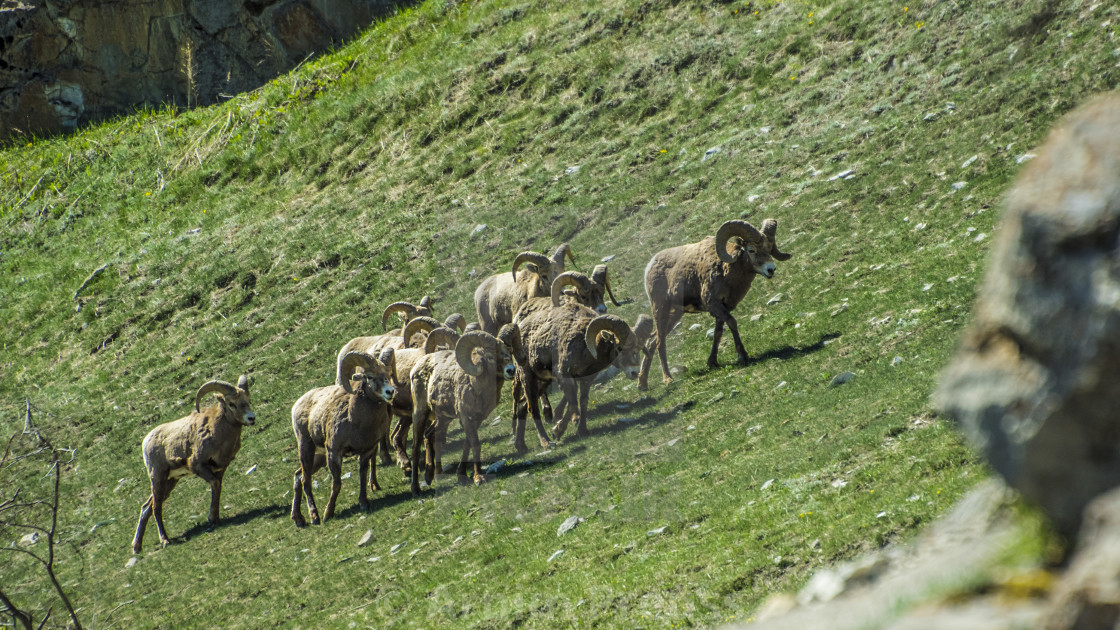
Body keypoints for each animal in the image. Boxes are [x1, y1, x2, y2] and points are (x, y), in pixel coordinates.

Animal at [132, 374, 255, 551]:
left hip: (170, 481)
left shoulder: (220, 469)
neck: (218, 432)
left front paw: (215, 518)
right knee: (156, 507)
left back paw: (137, 547)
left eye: (248, 400)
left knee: (147, 507)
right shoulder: (198, 465)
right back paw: (165, 541)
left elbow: (217, 487)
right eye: (232, 404)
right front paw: (212, 519)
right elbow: (215, 484)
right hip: (158, 477)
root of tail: (146, 442)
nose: (251, 418)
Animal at [291, 347, 396, 524]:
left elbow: (362, 476)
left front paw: (364, 503)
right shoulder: (334, 452)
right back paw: (314, 517)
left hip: (319, 457)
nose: (390, 392)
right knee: (305, 481)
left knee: (298, 476)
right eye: (370, 376)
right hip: (306, 448)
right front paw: (328, 514)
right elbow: (337, 484)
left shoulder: (367, 451)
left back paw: (298, 519)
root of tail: (297, 405)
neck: (357, 421)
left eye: (388, 373)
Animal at [407, 325, 519, 493]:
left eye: (509, 352)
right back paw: (416, 488)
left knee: (431, 436)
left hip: (443, 419)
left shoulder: (476, 420)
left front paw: (462, 476)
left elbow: (468, 445)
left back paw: (432, 475)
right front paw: (478, 478)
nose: (511, 370)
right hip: (420, 413)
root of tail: (416, 367)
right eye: (490, 356)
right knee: (416, 445)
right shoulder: (466, 418)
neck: (477, 387)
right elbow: (475, 444)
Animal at [640, 218, 788, 385]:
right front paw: (742, 356)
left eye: (769, 248)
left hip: (675, 314)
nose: (771, 269)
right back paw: (668, 379)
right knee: (660, 342)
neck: (727, 271)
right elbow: (732, 323)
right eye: (751, 250)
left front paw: (713, 363)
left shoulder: (722, 308)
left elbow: (718, 333)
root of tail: (650, 266)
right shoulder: (714, 305)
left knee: (652, 341)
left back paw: (642, 384)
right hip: (660, 309)